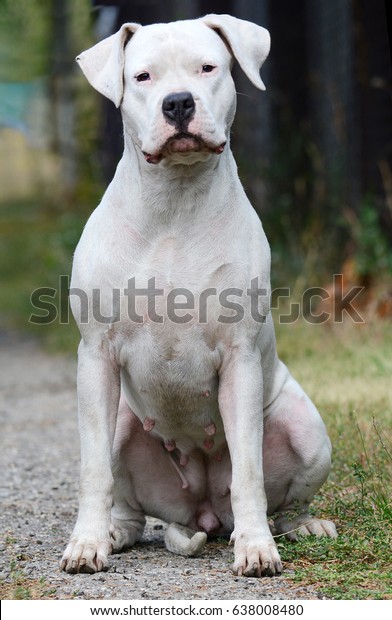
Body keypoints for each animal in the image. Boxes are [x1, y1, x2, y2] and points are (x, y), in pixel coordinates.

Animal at [61, 13, 336, 576]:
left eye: (208, 67)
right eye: (142, 76)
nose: (178, 103)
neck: (174, 201)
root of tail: (203, 511)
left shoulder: (239, 359)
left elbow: (250, 472)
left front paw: (256, 548)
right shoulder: (96, 356)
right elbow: (94, 469)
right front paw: (86, 543)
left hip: (306, 429)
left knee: (287, 500)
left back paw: (299, 527)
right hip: (123, 423)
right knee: (128, 501)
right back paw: (115, 533)